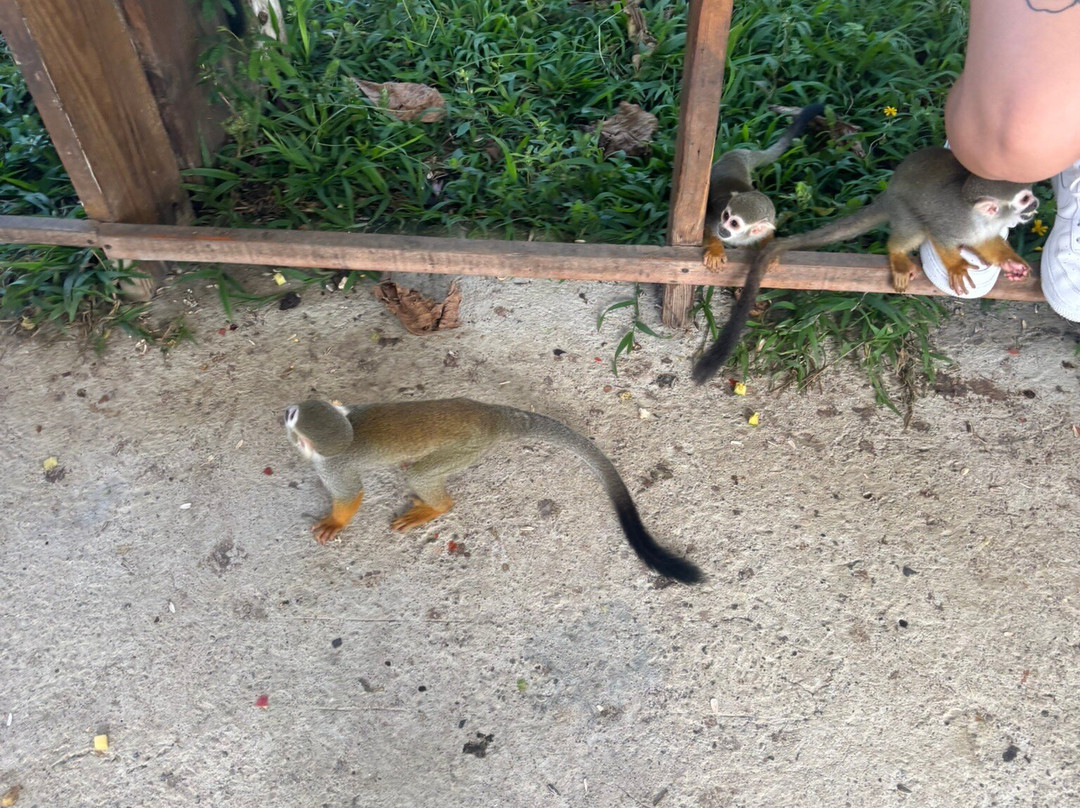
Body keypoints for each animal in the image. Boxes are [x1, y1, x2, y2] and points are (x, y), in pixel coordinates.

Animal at [284, 398, 704, 584]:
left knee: (421, 474)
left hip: (465, 450)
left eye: (292, 416)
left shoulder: (334, 465)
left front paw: (335, 521)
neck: (348, 430)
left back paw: (436, 506)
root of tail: (491, 416)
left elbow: (350, 494)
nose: (284, 410)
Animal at [692, 146, 1038, 383]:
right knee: (915, 223)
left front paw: (1011, 263)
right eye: (1024, 199)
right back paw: (897, 252)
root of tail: (888, 193)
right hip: (902, 206)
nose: (1035, 204)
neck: (978, 218)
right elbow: (939, 234)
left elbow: (988, 242)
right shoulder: (951, 221)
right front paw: (955, 267)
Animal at [702, 102, 826, 270]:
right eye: (725, 215)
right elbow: (707, 227)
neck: (740, 236)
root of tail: (739, 156)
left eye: (734, 223)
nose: (722, 228)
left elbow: (768, 232)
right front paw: (715, 250)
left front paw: (770, 253)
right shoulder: (716, 216)